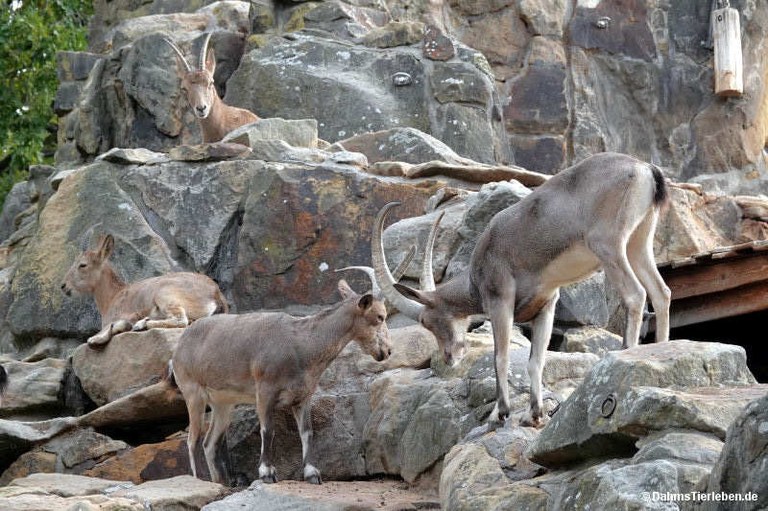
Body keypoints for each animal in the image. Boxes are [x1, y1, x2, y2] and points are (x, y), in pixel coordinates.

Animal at [61, 233, 228, 348]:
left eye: (82, 265)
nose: (64, 286)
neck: (112, 297)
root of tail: (216, 293)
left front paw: (96, 338)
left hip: (165, 295)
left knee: (181, 320)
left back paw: (141, 325)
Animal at [169, 279, 390, 485]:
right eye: (380, 316)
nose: (387, 351)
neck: (302, 344)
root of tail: (178, 347)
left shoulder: (303, 397)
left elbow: (307, 432)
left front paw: (312, 474)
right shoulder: (265, 391)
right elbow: (268, 430)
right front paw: (267, 473)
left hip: (223, 404)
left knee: (209, 442)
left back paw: (220, 483)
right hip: (193, 393)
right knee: (192, 439)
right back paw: (198, 480)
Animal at [373, 152, 672, 427]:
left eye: (427, 322)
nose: (450, 358)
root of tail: (645, 169)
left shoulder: (500, 301)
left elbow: (500, 356)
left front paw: (499, 413)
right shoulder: (546, 306)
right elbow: (535, 360)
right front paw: (534, 414)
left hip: (608, 245)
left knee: (636, 294)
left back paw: (625, 352)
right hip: (638, 242)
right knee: (661, 292)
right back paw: (661, 348)